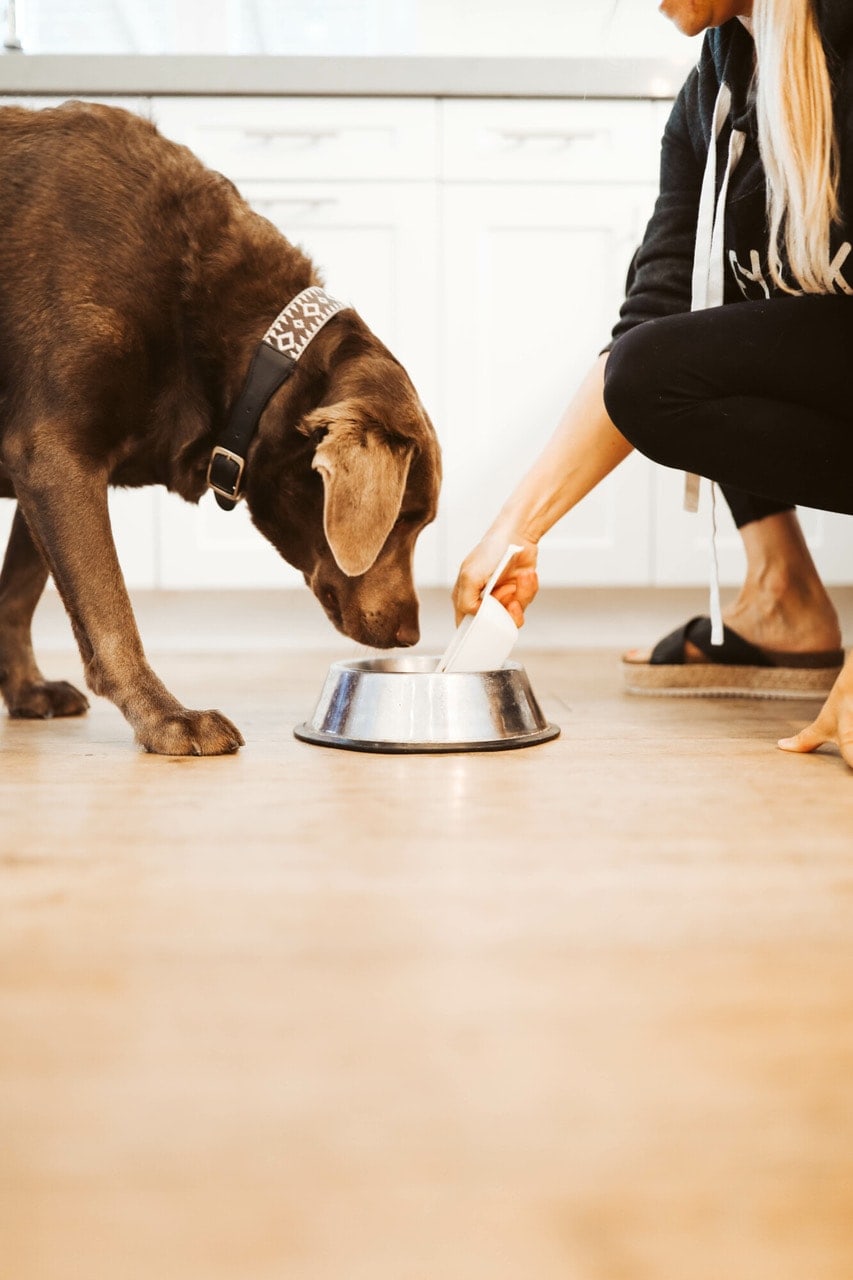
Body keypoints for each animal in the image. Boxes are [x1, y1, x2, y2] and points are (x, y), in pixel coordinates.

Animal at [0, 107, 438, 757]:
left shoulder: (42, 468)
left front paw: (27, 690)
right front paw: (167, 718)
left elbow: (17, 593)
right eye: (404, 519)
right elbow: (110, 612)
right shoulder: (55, 456)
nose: (412, 635)